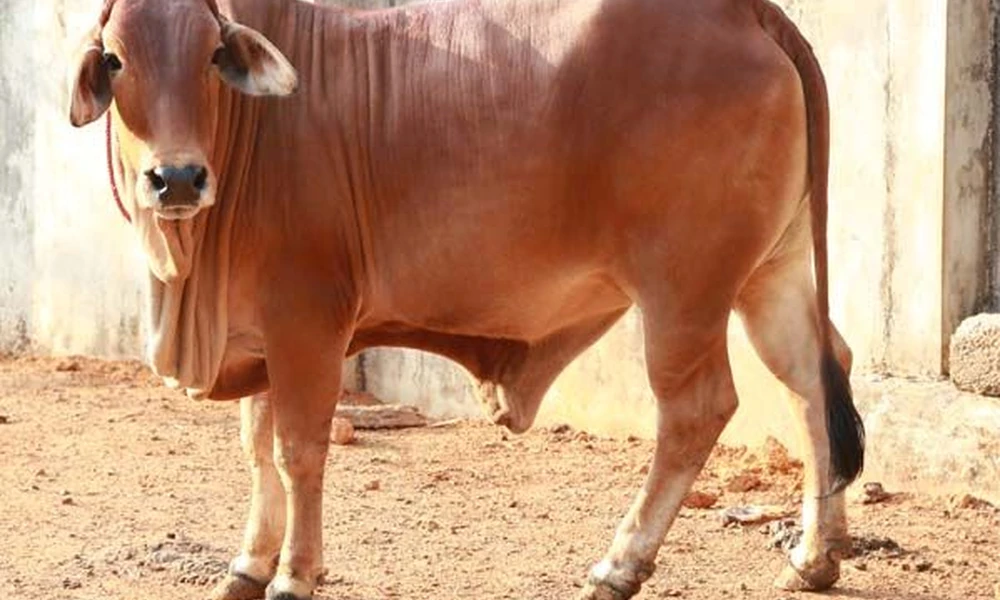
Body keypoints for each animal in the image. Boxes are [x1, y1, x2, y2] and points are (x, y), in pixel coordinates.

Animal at [68, 0, 865, 598]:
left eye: (211, 54)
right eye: (115, 58)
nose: (176, 179)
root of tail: (746, 11)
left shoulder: (307, 319)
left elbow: (297, 451)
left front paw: (294, 575)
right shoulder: (260, 329)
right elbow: (256, 448)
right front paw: (247, 566)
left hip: (684, 289)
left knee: (698, 410)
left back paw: (618, 565)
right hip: (771, 270)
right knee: (812, 378)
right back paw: (814, 556)